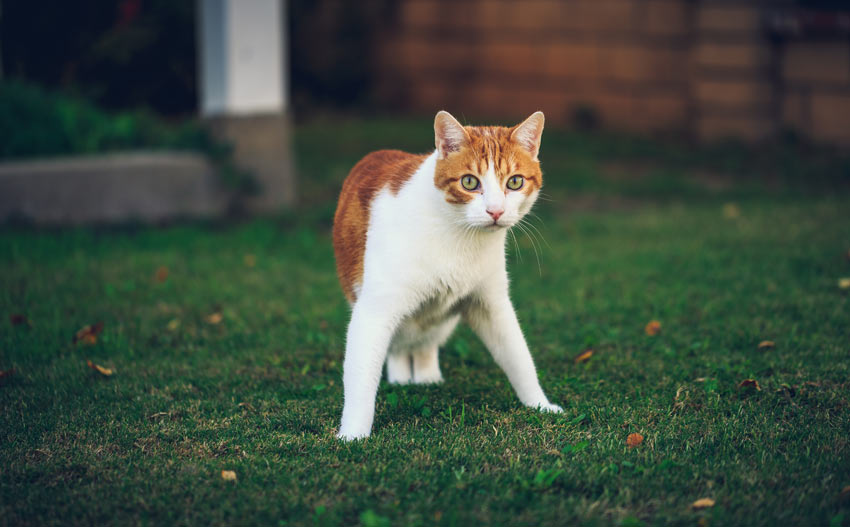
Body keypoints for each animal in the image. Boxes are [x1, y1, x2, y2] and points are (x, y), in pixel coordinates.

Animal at [332, 111, 564, 442]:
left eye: (515, 182)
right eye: (469, 182)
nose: (495, 211)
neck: (460, 236)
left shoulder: (491, 304)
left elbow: (519, 356)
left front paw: (540, 405)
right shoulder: (374, 311)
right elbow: (362, 376)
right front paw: (352, 435)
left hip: (442, 321)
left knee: (424, 343)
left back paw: (427, 379)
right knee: (398, 346)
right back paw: (402, 379)